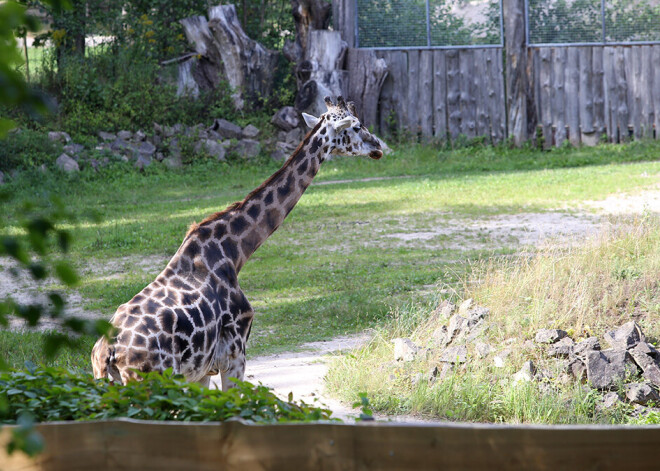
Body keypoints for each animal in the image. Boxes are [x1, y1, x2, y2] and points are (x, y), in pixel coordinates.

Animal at [90, 96, 384, 390]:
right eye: (356, 126)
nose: (379, 147)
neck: (234, 252)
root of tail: (108, 353)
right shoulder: (235, 352)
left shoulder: (202, 370)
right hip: (152, 379)